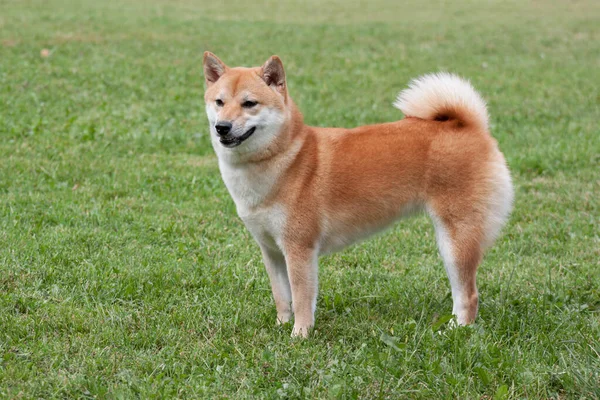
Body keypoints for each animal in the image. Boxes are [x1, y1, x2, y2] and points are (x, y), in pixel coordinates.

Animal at [204, 52, 512, 338]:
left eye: (249, 103)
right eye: (219, 102)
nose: (222, 127)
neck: (286, 157)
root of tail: (469, 126)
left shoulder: (299, 248)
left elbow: (302, 299)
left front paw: (300, 335)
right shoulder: (271, 250)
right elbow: (282, 297)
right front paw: (282, 326)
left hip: (455, 239)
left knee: (468, 295)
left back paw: (457, 331)